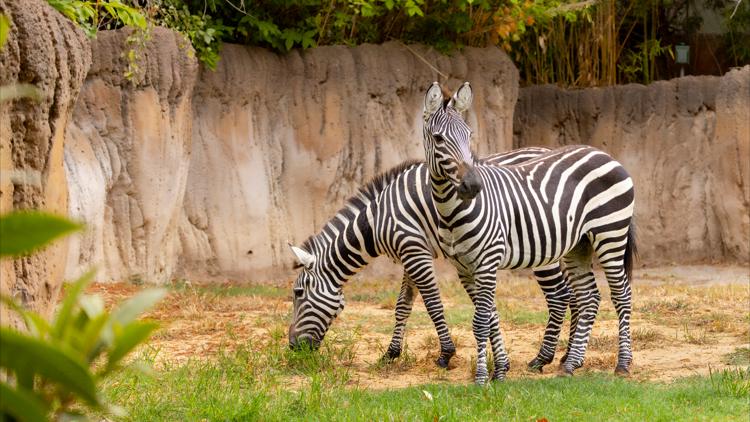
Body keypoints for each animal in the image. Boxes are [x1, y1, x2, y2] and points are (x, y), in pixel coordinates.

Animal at [288, 150, 579, 372]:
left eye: (298, 293)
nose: (292, 347)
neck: (377, 220)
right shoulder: (410, 253)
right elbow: (403, 305)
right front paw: (391, 353)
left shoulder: (414, 251)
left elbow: (432, 304)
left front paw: (446, 354)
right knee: (576, 295)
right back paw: (567, 356)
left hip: (543, 248)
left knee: (559, 296)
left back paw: (543, 358)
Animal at [421, 81, 636, 385]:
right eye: (439, 139)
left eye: (469, 136)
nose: (473, 186)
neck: (451, 212)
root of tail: (603, 154)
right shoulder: (464, 268)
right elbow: (490, 318)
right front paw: (500, 370)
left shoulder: (487, 261)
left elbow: (480, 322)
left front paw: (482, 378)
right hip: (578, 245)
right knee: (589, 297)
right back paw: (570, 363)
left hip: (611, 234)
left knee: (622, 294)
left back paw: (623, 363)